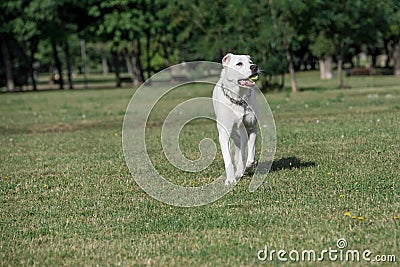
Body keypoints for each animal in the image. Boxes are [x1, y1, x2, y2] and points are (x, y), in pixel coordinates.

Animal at [212, 53, 260, 185]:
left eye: (250, 62)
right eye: (239, 64)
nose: (254, 66)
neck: (238, 99)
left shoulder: (251, 126)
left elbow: (251, 149)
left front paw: (248, 165)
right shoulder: (224, 132)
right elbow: (228, 158)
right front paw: (230, 179)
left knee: (242, 145)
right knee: (238, 143)